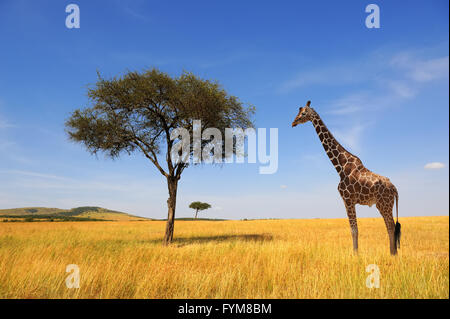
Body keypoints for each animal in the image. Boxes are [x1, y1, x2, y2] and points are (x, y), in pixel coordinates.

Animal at [292, 101, 400, 256]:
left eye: (303, 113)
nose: (293, 122)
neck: (340, 166)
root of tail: (395, 189)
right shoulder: (347, 201)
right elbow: (354, 229)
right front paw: (356, 253)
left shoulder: (348, 199)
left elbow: (354, 230)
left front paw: (355, 255)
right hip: (383, 204)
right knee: (390, 225)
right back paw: (393, 253)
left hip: (384, 204)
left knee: (390, 225)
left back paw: (392, 254)